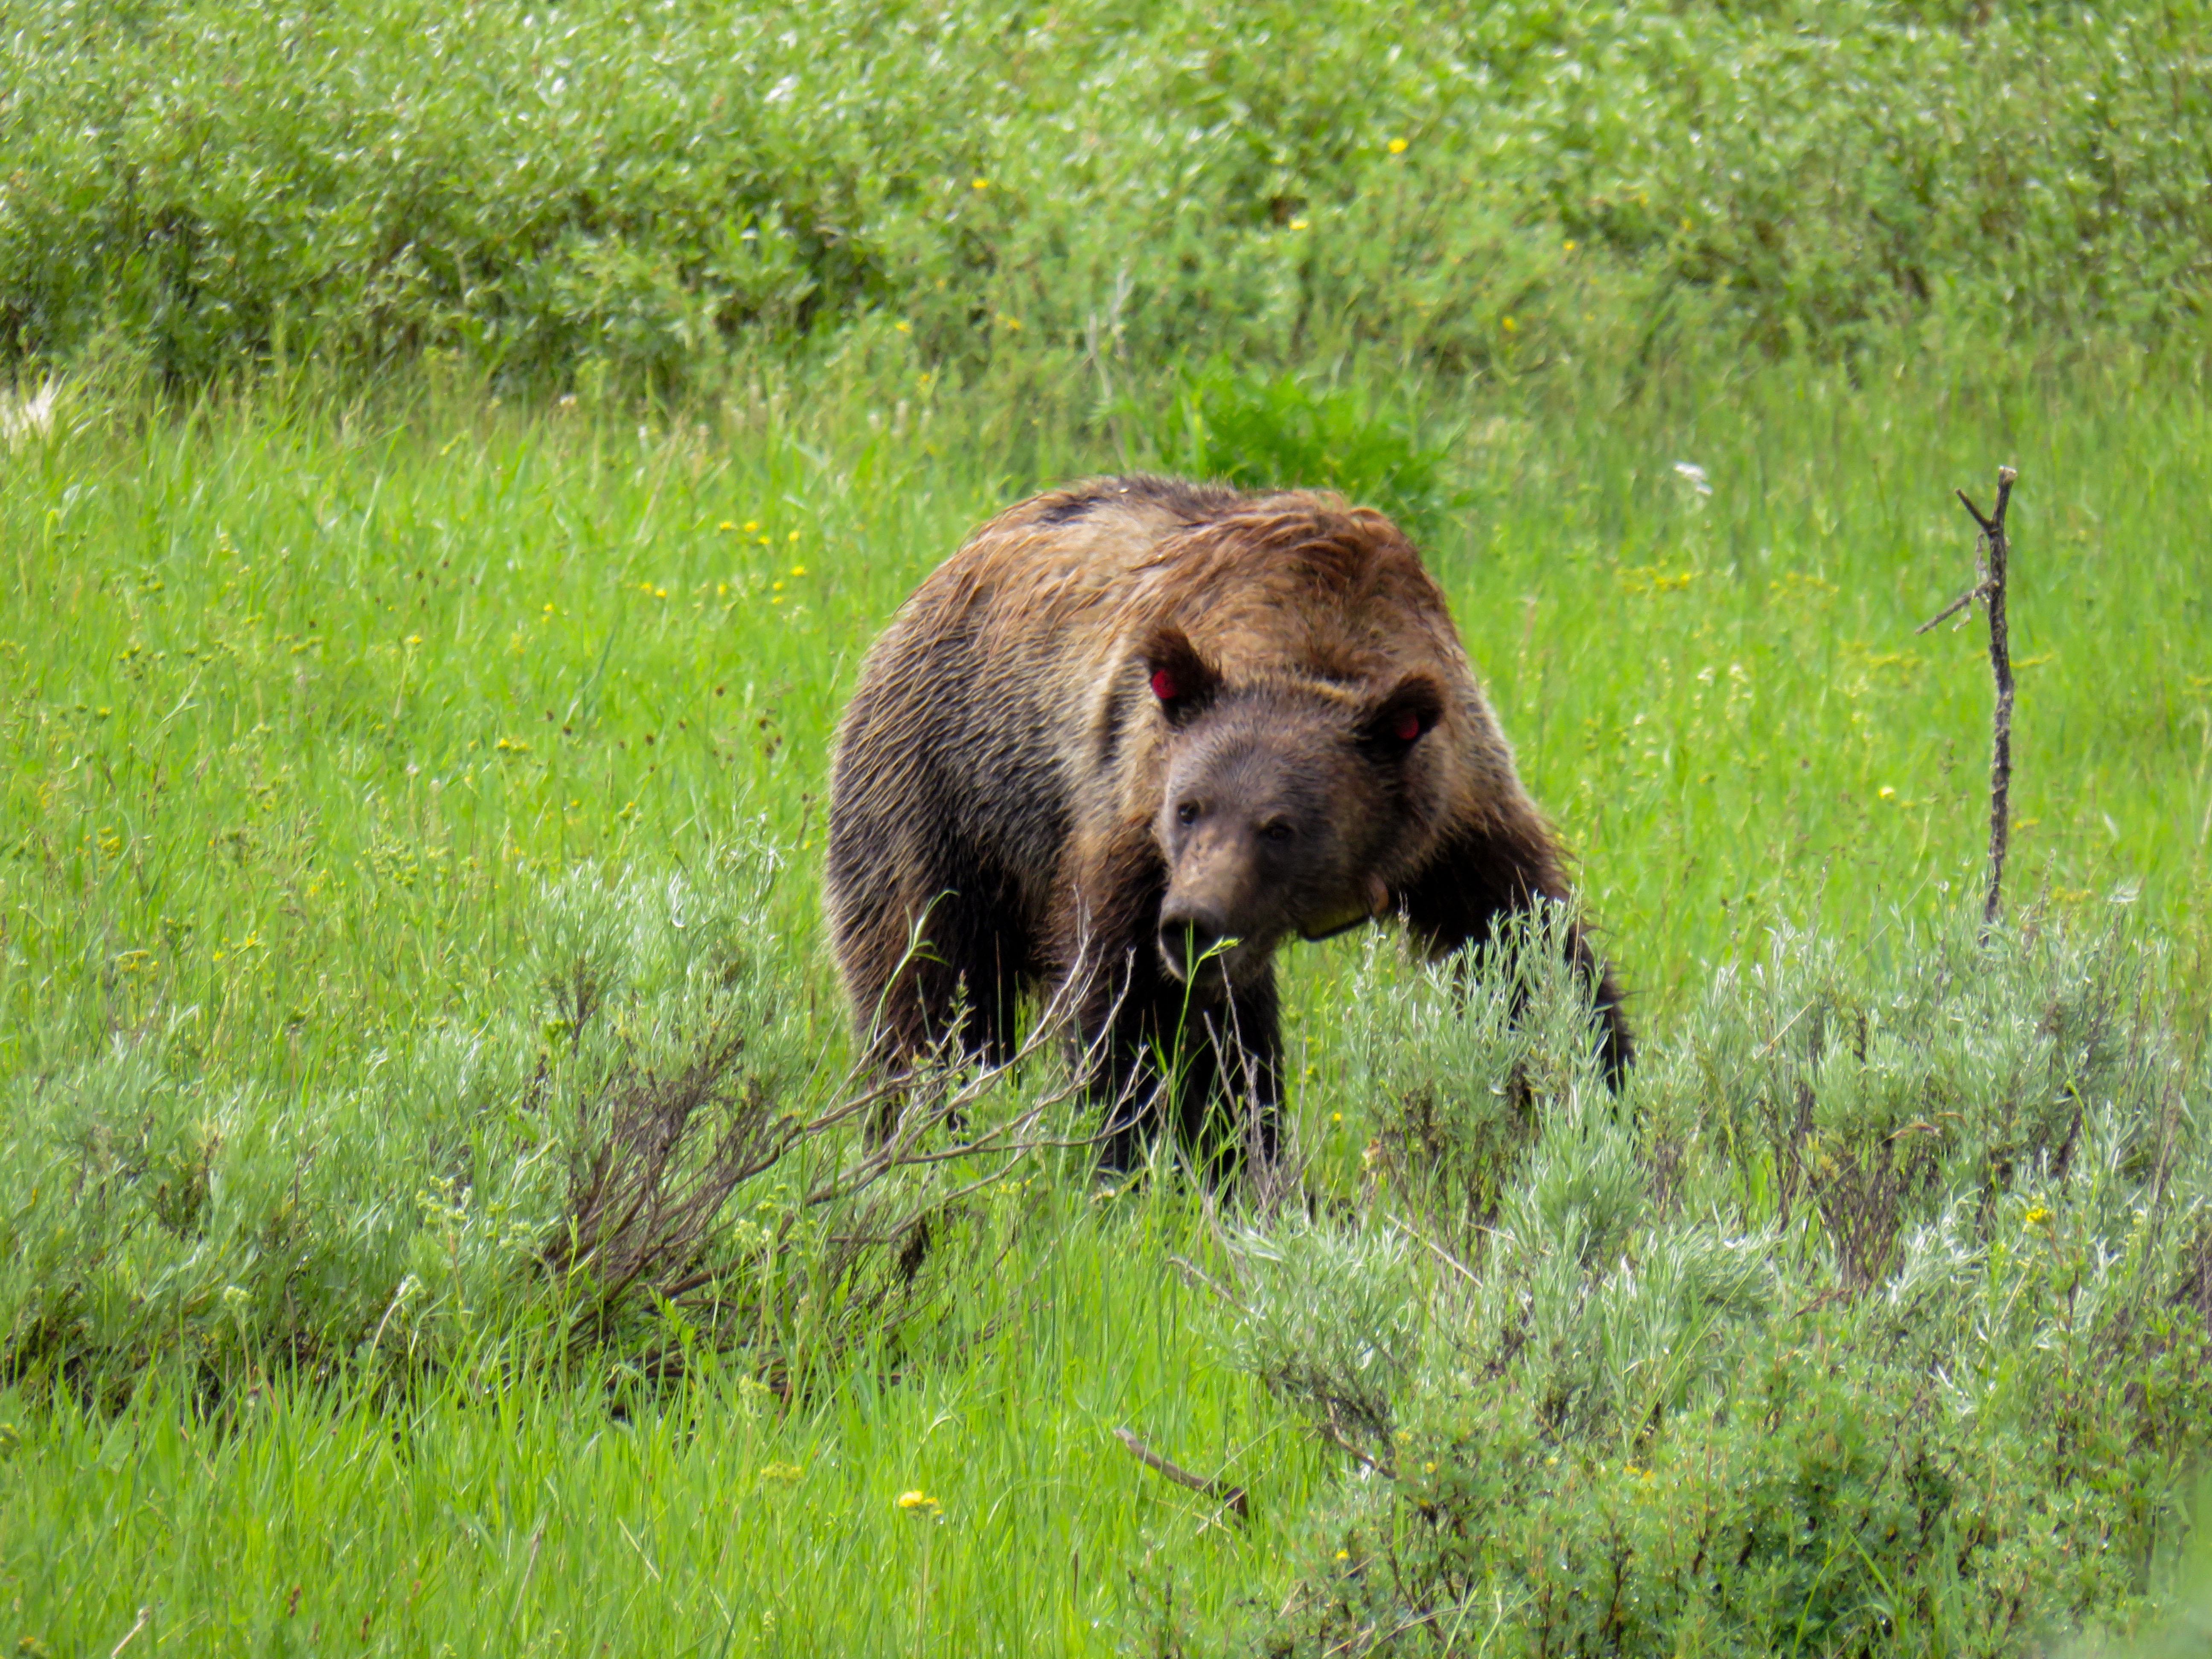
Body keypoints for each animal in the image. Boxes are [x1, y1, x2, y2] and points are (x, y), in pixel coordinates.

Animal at [827, 473, 1628, 1176]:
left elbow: (1533, 965)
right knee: (929, 988)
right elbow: (1137, 1016)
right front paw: (1142, 1156)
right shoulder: (1129, 816)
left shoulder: (1460, 819)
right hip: (942, 792)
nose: (1192, 921)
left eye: (1280, 827)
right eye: (1188, 808)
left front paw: (1595, 1110)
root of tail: (939, 576)